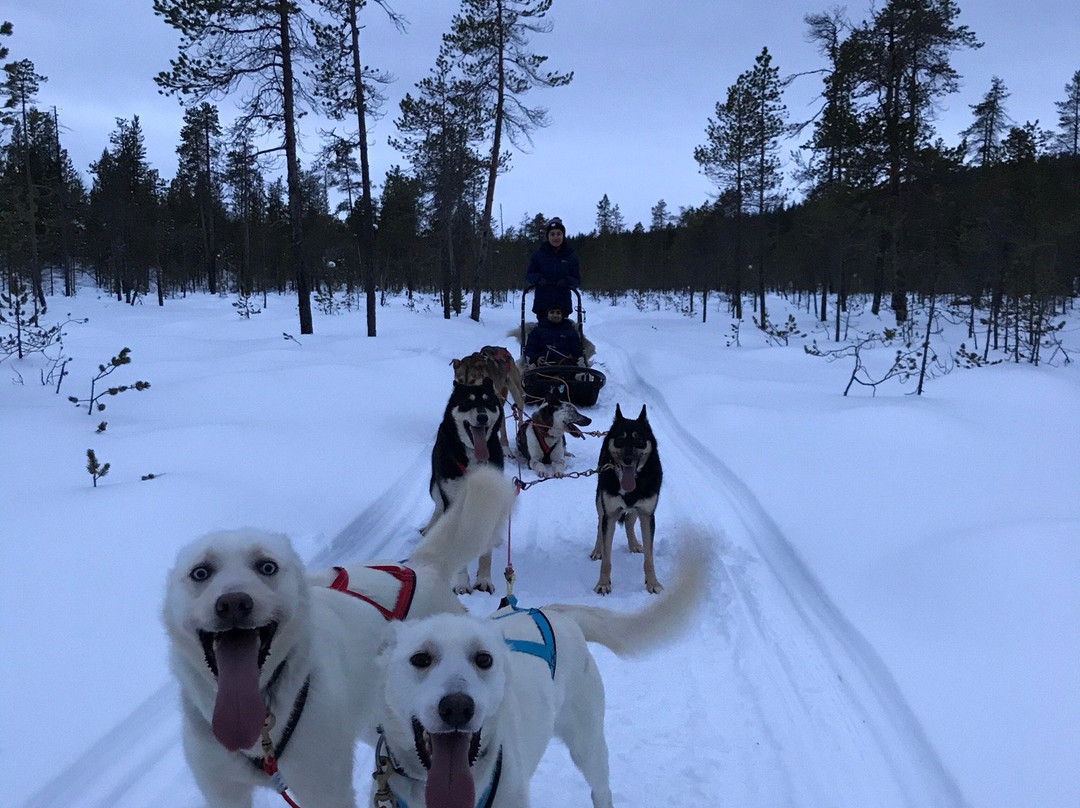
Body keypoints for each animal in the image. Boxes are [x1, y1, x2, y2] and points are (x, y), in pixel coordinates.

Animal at [160, 464, 514, 808]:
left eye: (267, 567)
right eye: (200, 572)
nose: (233, 603)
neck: (261, 728)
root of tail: (422, 568)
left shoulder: (324, 790)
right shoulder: (222, 792)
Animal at [371, 535, 708, 808]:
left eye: (484, 659)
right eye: (420, 658)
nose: (457, 707)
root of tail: (552, 611)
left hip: (588, 744)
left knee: (601, 789)